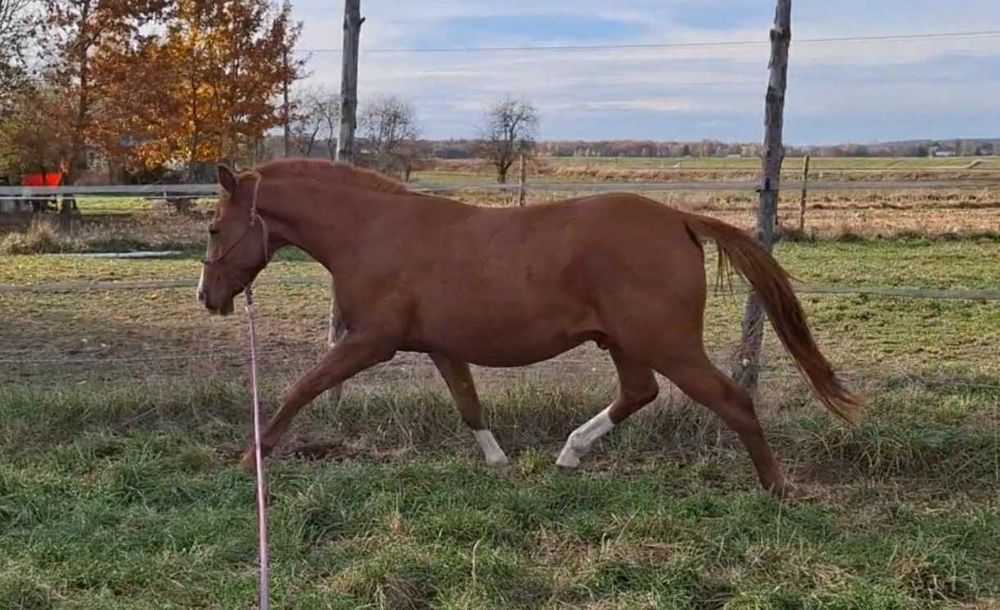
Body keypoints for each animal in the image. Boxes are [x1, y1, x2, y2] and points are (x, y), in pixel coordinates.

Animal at [198, 158, 859, 496]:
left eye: (212, 227)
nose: (208, 298)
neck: (372, 233)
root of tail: (680, 219)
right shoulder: (440, 347)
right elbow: (469, 406)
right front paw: (500, 464)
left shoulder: (370, 342)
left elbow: (301, 389)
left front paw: (250, 459)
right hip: (627, 343)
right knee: (638, 392)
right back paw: (569, 455)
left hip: (667, 344)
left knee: (732, 400)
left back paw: (776, 488)